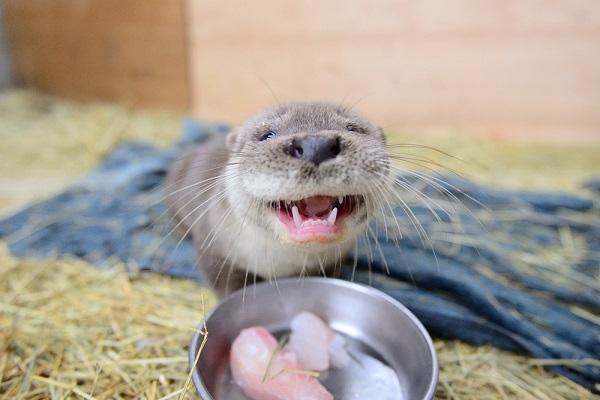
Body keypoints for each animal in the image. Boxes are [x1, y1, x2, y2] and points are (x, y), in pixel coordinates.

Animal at [166, 102, 392, 296]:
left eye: (353, 129)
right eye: (267, 135)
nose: (316, 145)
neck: (284, 264)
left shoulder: (334, 259)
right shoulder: (214, 251)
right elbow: (228, 285)